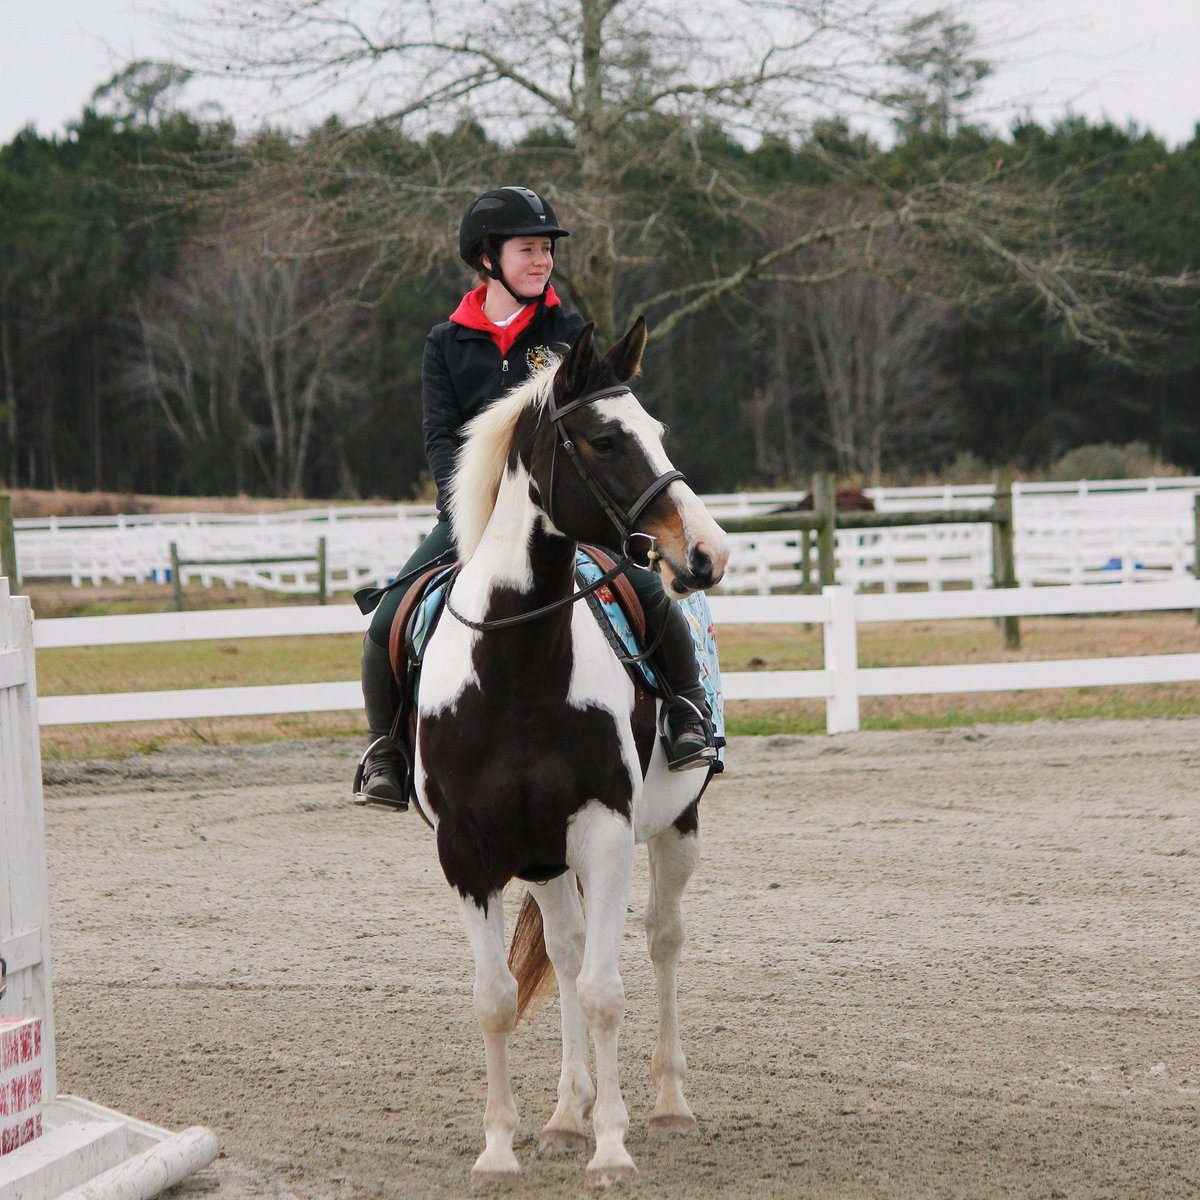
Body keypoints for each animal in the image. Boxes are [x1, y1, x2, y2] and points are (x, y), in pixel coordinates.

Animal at [411, 316, 730, 1186]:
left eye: (658, 433)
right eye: (606, 439)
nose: (707, 551)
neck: (517, 670)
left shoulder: (605, 830)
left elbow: (604, 992)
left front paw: (613, 1146)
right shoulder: (468, 852)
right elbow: (497, 998)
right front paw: (499, 1149)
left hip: (673, 830)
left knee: (661, 940)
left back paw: (670, 1104)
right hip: (544, 860)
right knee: (566, 946)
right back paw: (562, 1117)